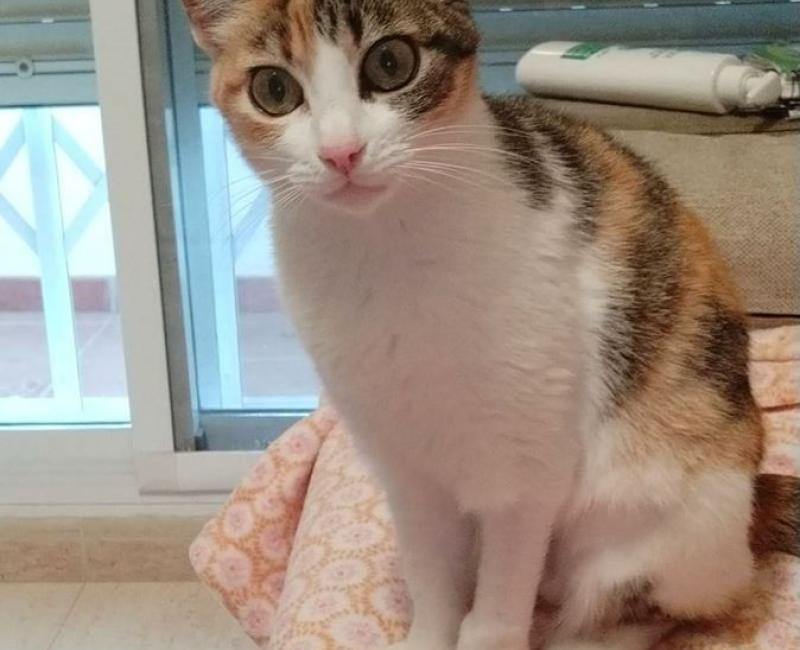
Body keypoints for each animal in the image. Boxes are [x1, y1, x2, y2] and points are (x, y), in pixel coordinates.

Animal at [182, 2, 799, 649]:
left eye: (391, 62)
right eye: (274, 90)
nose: (341, 152)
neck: (383, 252)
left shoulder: (527, 462)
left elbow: (503, 590)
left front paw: (489, 631)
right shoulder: (400, 463)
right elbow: (430, 574)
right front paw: (430, 631)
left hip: (667, 522)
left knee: (652, 603)